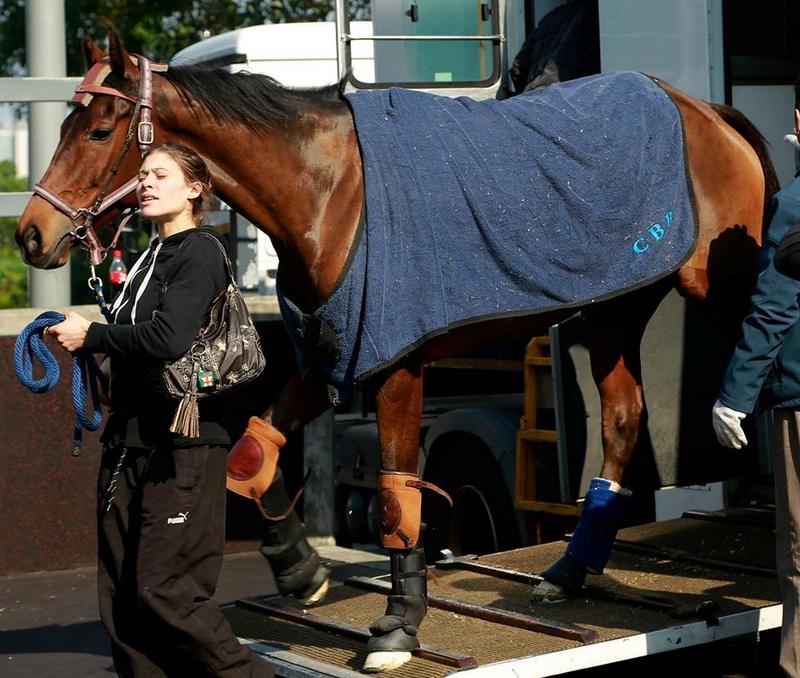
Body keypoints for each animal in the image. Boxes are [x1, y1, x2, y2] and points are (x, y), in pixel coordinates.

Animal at [18, 33, 780, 676]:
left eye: (97, 130)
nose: (31, 235)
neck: (328, 191)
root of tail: (705, 111)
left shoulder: (395, 363)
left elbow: (396, 493)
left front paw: (398, 625)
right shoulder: (329, 355)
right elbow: (255, 449)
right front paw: (300, 568)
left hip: (722, 279)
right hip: (618, 304)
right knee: (623, 417)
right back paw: (568, 570)